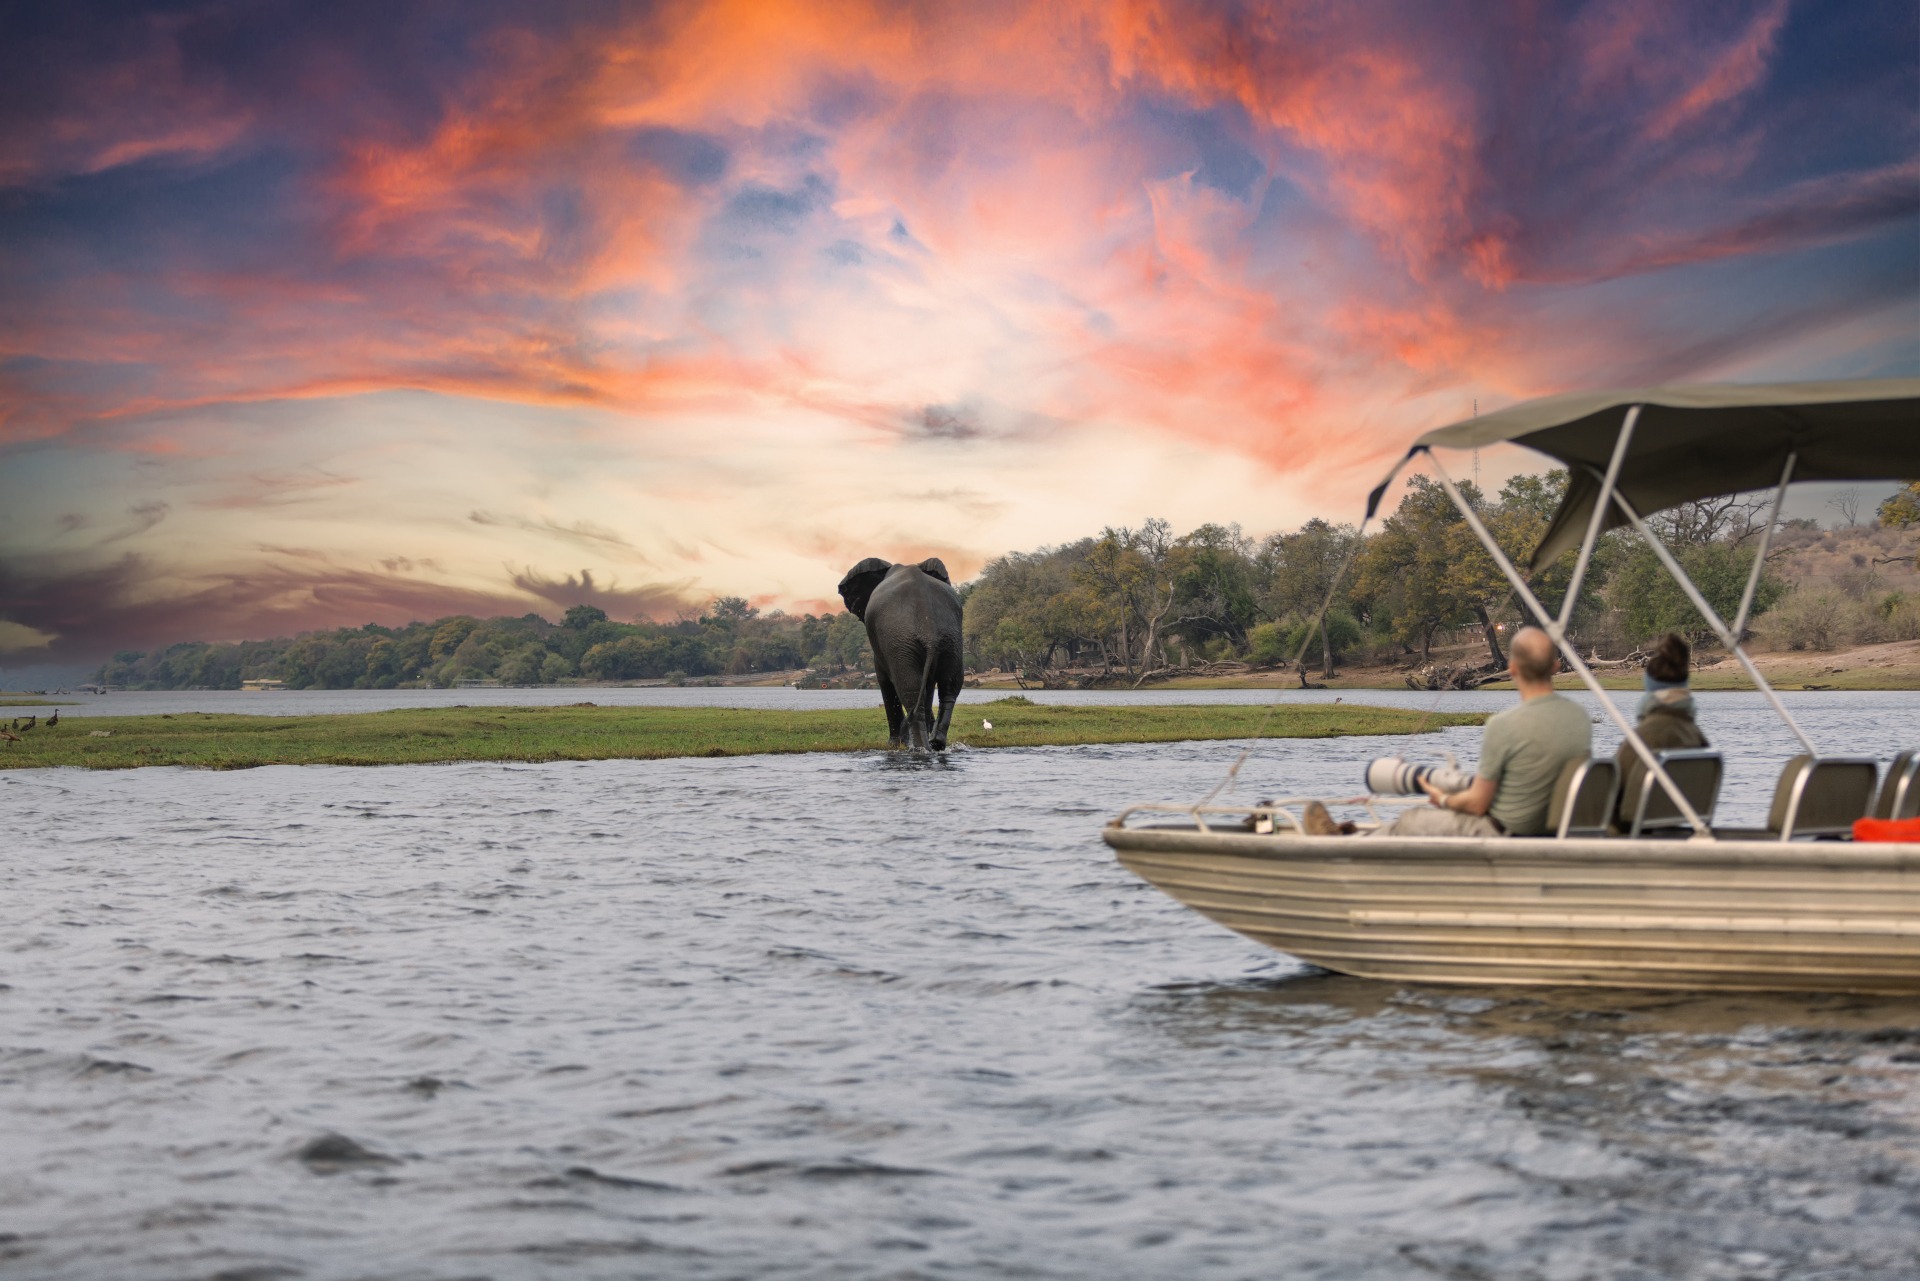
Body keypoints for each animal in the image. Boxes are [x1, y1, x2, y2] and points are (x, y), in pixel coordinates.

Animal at [837, 556, 964, 752]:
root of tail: (929, 628)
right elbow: (928, 686)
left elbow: (884, 680)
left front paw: (894, 744)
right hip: (950, 639)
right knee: (949, 688)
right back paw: (936, 743)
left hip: (901, 642)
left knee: (910, 691)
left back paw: (920, 748)